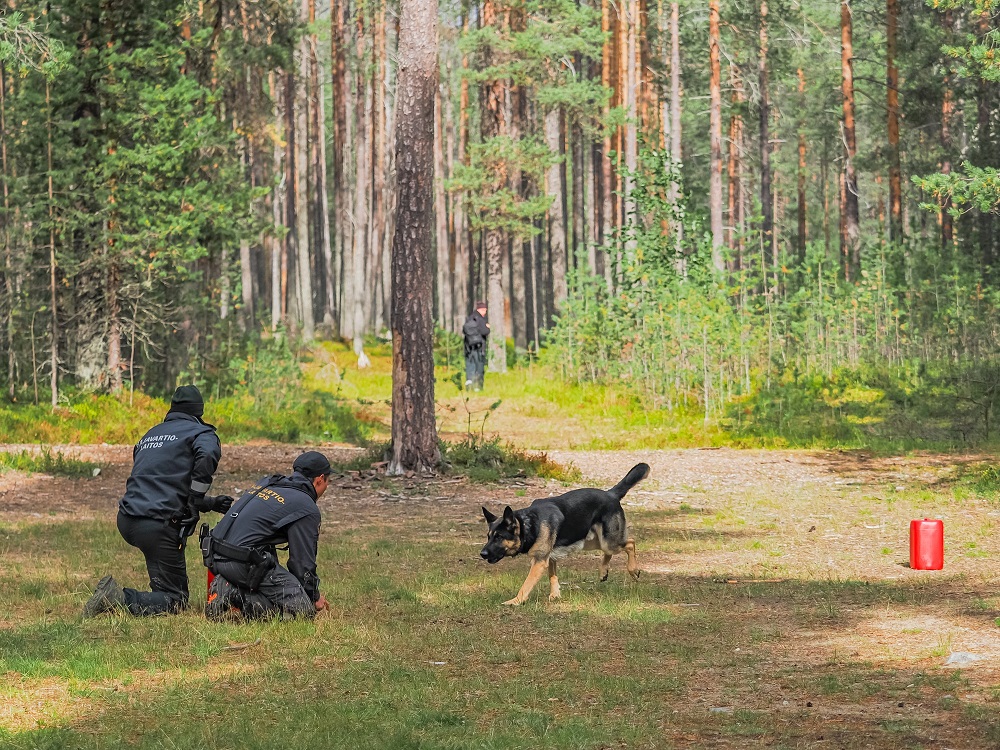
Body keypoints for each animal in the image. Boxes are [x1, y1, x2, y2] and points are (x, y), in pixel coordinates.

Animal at [482, 462, 652, 608]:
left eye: (499, 537)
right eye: (489, 536)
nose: (482, 554)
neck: (528, 523)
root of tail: (611, 494)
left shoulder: (539, 561)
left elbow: (527, 584)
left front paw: (516, 600)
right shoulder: (549, 557)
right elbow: (552, 575)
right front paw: (555, 595)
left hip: (609, 542)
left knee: (630, 542)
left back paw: (633, 570)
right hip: (593, 541)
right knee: (610, 551)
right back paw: (603, 571)